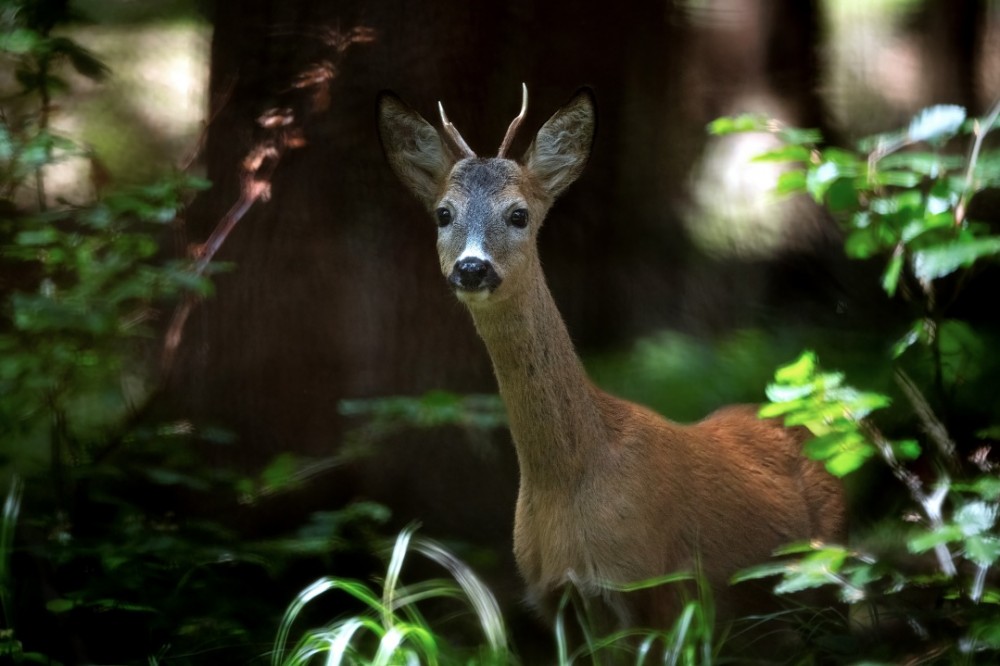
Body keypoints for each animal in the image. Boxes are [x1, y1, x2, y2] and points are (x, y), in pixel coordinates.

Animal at [376, 85, 844, 632]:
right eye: (443, 214)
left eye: (519, 214)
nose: (472, 268)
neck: (568, 480)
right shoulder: (556, 599)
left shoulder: (654, 589)